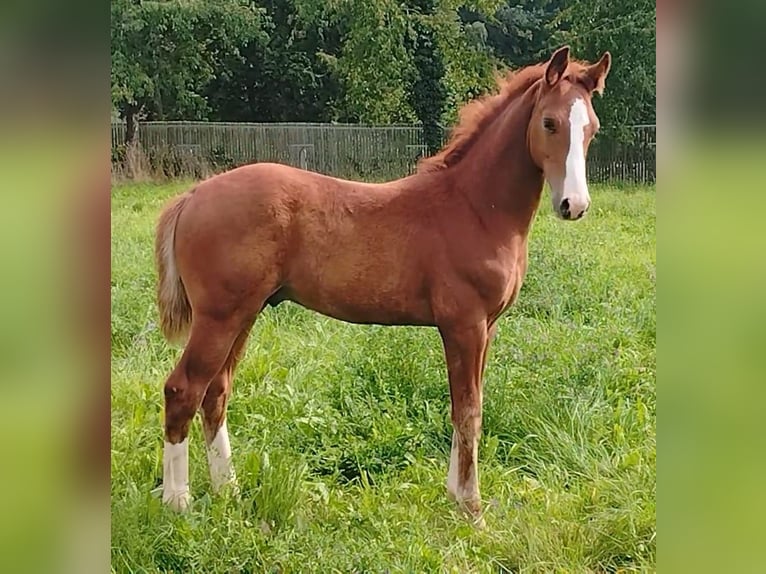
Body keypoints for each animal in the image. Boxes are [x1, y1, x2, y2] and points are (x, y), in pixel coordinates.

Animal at [154, 47, 612, 528]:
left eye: (592, 128)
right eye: (549, 122)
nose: (574, 205)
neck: (474, 207)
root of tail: (191, 197)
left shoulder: (486, 328)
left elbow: (466, 408)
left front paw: (455, 495)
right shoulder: (464, 325)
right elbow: (469, 411)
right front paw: (472, 510)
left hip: (245, 313)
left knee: (216, 391)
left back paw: (229, 490)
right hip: (219, 317)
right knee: (183, 389)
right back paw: (178, 502)